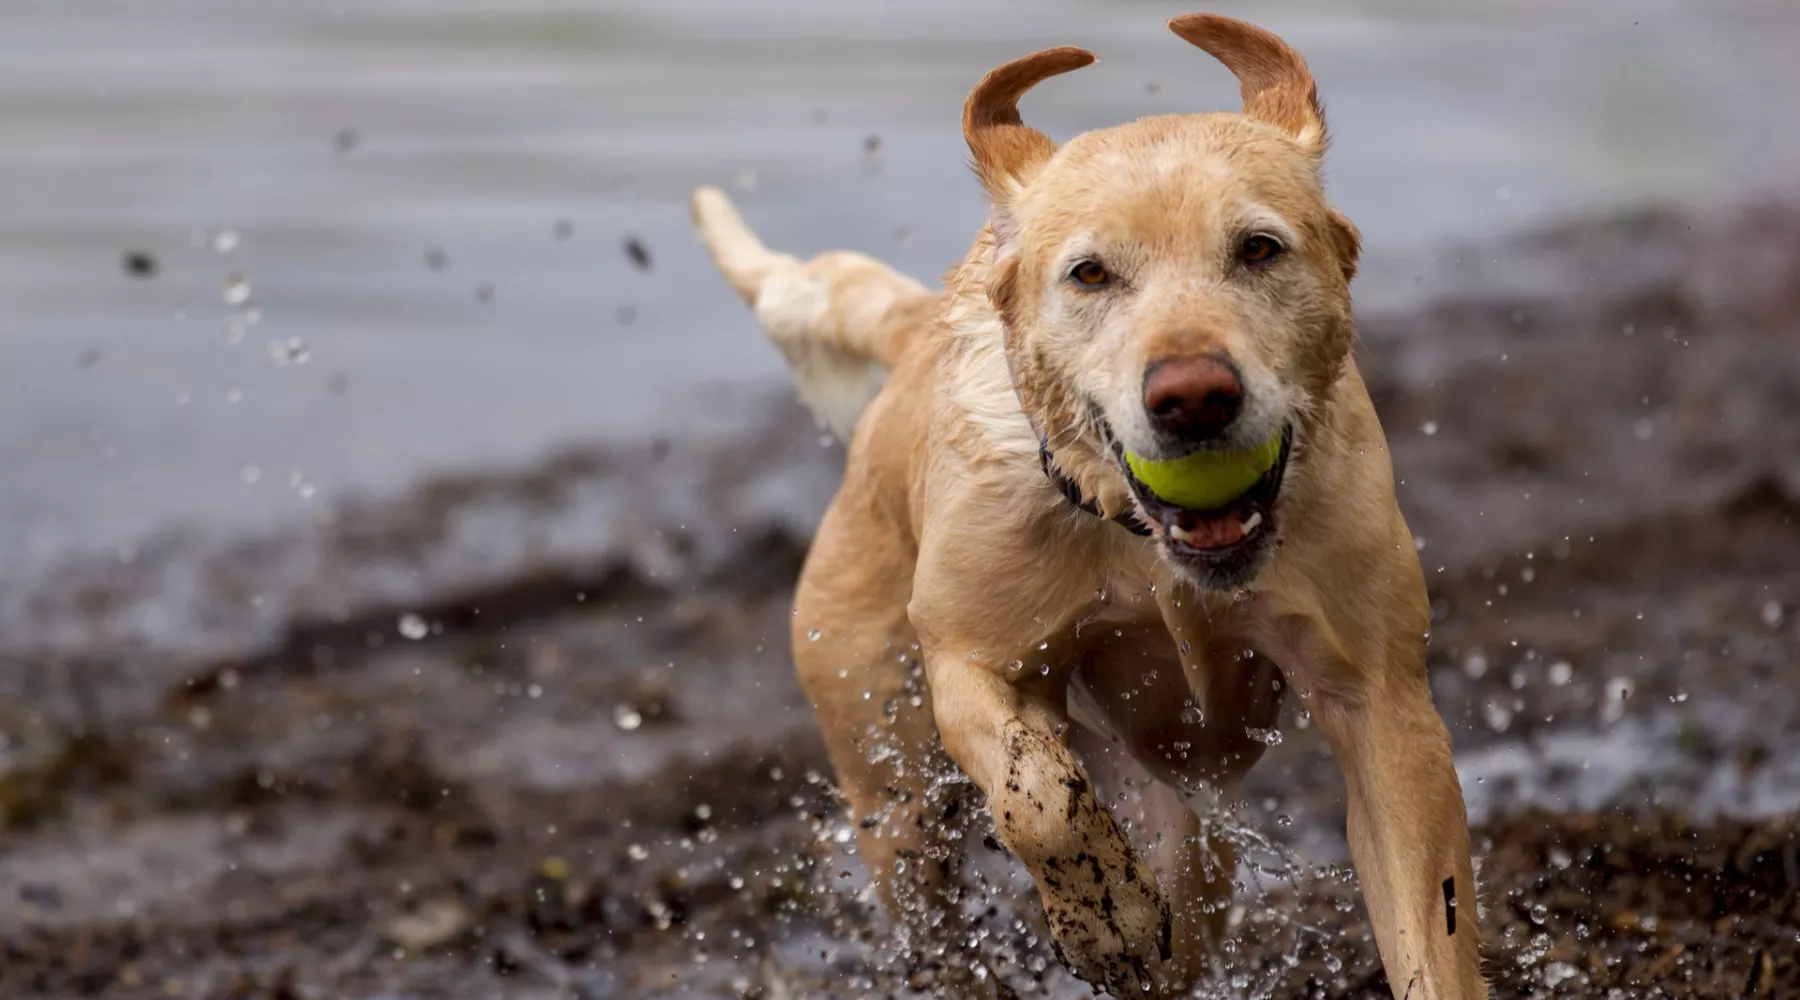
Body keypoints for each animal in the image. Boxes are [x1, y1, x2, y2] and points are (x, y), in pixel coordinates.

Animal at [694, 15, 1483, 1000]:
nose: (1193, 396)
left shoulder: (1385, 710)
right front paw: (1108, 916)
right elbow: (1038, 799)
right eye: (1091, 273)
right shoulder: (968, 662)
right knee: (936, 905)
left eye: (1259, 248)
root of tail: (914, 333)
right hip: (890, 777)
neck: (1145, 545)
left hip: (1184, 828)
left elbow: (1429, 925)